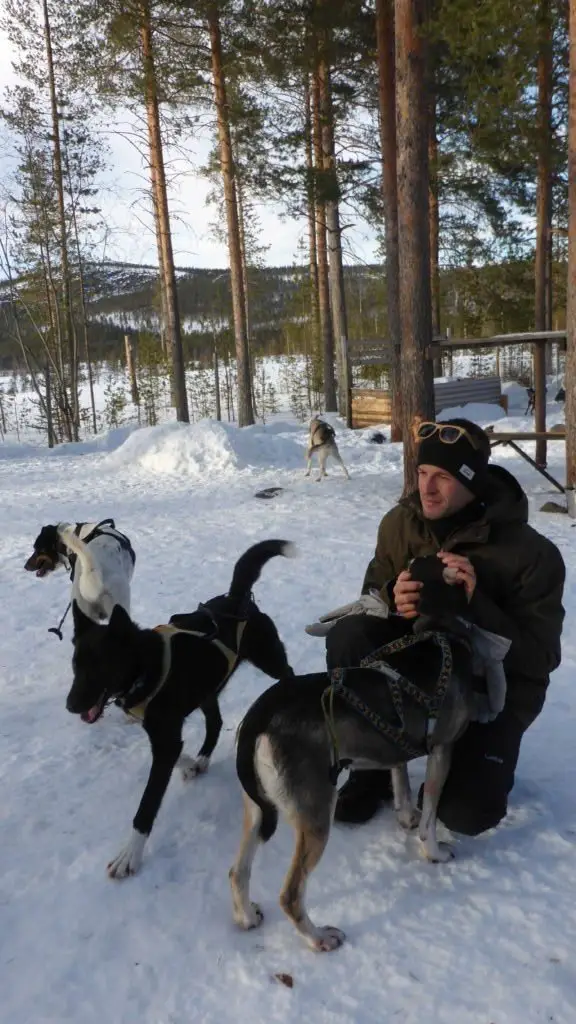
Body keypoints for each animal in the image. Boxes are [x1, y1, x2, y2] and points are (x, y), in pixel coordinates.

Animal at [65, 536, 293, 880]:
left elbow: (146, 806)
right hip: (208, 687)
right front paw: (190, 764)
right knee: (215, 722)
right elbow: (177, 753)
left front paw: (129, 854)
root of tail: (237, 599)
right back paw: (202, 759)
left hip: (270, 660)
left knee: (288, 675)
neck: (146, 665)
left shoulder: (165, 739)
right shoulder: (164, 736)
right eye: (76, 665)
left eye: (100, 666)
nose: (70, 705)